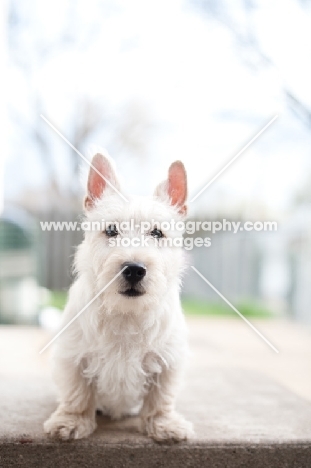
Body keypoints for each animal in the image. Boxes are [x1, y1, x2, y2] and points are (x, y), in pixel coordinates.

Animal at [43, 153, 195, 442]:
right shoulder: (73, 356)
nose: (134, 269)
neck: (126, 312)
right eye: (111, 230)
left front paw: (164, 425)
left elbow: (161, 398)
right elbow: (77, 394)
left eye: (157, 233)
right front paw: (71, 422)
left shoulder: (168, 360)